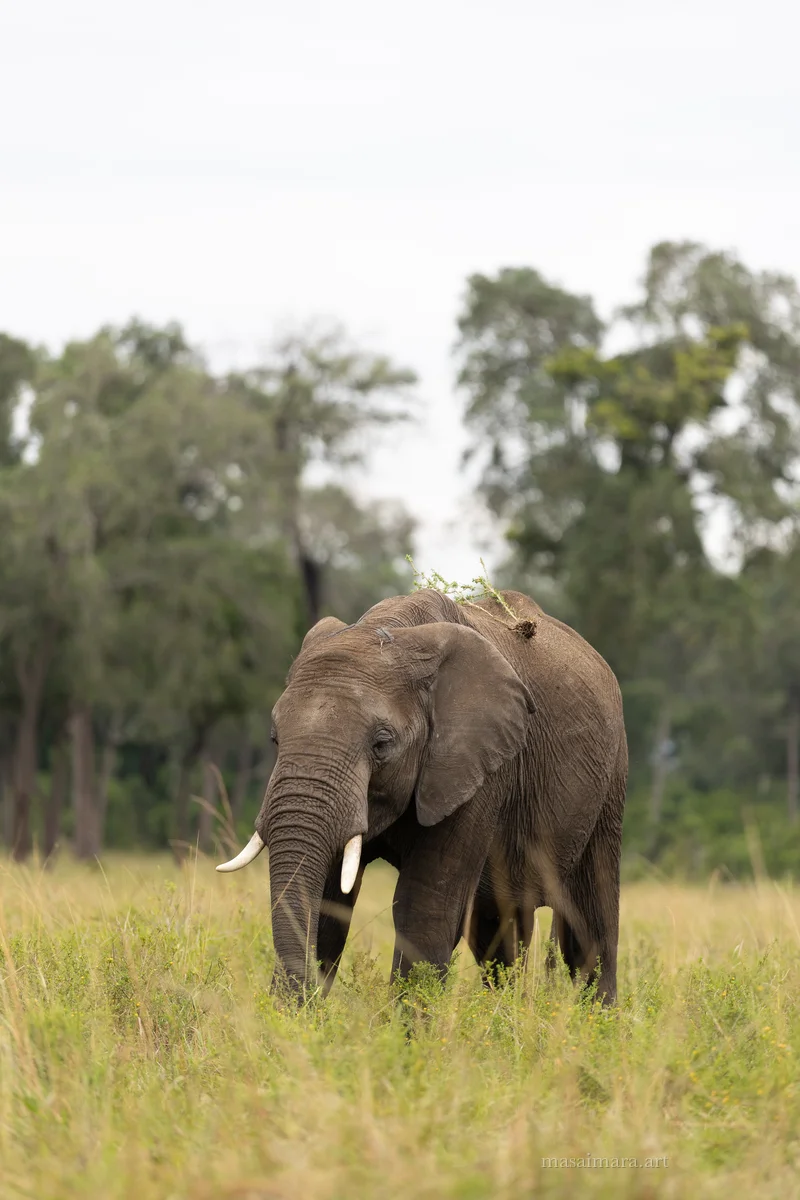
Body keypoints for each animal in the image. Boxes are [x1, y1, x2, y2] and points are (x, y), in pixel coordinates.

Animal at [217, 587, 627, 1005]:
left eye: (382, 744)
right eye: (275, 739)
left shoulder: (475, 768)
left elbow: (422, 907)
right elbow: (330, 901)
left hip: (611, 779)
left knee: (589, 922)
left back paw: (595, 1015)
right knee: (498, 927)